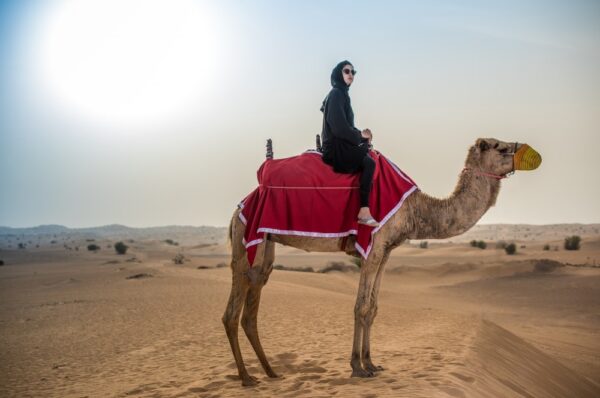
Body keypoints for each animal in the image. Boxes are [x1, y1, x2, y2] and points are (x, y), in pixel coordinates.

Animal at [223, 138, 540, 386]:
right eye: (500, 147)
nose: (531, 153)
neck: (414, 209)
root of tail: (240, 205)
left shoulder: (386, 252)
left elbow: (373, 308)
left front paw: (372, 363)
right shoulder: (372, 248)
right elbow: (360, 306)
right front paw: (357, 367)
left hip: (265, 246)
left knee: (252, 303)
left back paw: (270, 372)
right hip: (246, 239)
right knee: (232, 311)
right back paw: (246, 378)